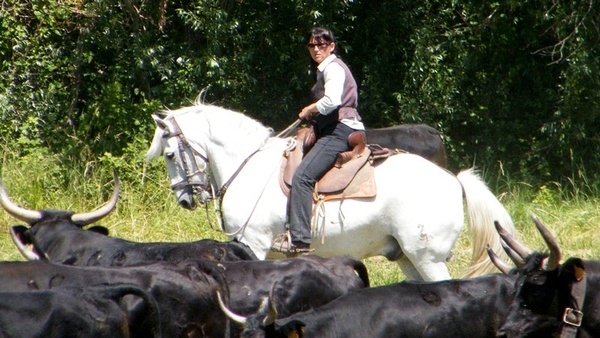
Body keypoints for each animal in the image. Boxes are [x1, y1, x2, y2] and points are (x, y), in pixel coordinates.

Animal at [145, 101, 516, 282]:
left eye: (169, 154)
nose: (185, 198)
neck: (249, 164)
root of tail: (453, 181)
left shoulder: (254, 245)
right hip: (408, 258)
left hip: (428, 258)